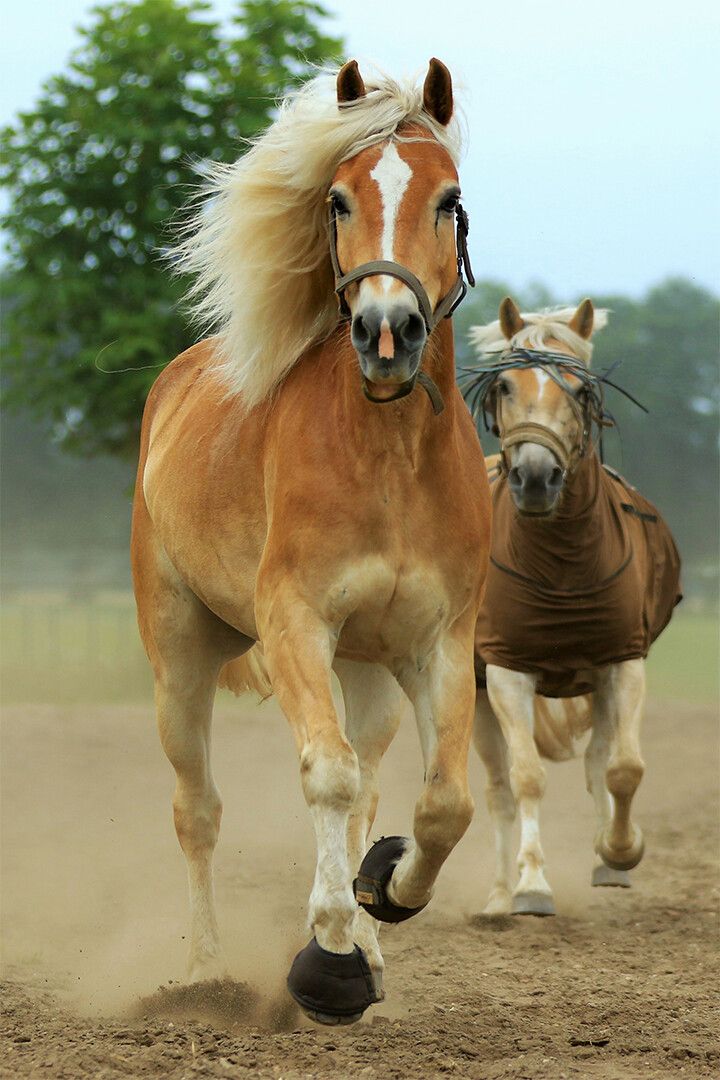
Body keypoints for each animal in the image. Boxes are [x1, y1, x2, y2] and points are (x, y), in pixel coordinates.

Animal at [131, 60, 491, 1025]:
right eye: (338, 197)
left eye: (449, 199)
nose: (387, 331)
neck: (389, 459)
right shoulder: (295, 622)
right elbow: (323, 776)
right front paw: (325, 963)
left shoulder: (440, 643)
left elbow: (441, 805)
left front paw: (380, 896)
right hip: (180, 661)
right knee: (196, 811)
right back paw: (204, 968)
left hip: (368, 674)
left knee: (368, 783)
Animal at [461, 298, 681, 917]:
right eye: (504, 386)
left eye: (581, 391)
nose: (535, 477)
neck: (562, 566)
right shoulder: (507, 672)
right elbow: (526, 779)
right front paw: (531, 887)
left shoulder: (621, 663)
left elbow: (623, 769)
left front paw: (619, 850)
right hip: (479, 695)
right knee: (498, 789)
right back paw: (497, 896)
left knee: (597, 763)